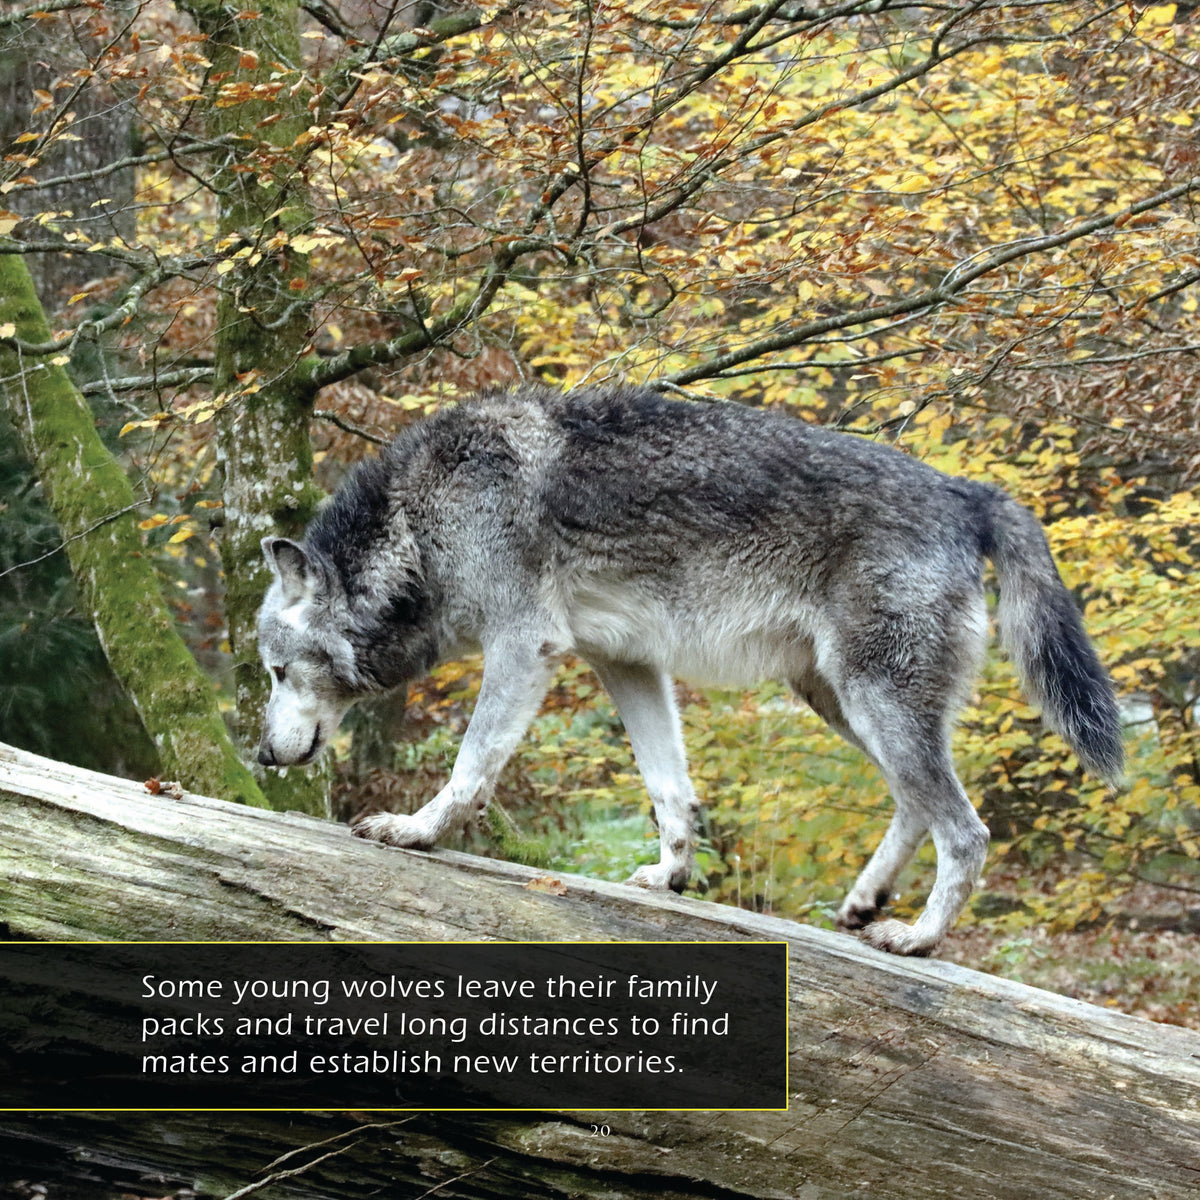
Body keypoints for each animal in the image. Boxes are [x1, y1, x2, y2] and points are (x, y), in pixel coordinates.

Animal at [255, 383, 1122, 956]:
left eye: (273, 673)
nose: (261, 755)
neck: (419, 520)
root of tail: (965, 492)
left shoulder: (525, 647)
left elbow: (473, 766)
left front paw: (416, 830)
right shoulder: (628, 663)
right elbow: (670, 789)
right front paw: (670, 875)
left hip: (874, 702)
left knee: (966, 832)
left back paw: (916, 938)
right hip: (840, 701)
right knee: (918, 805)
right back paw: (864, 903)